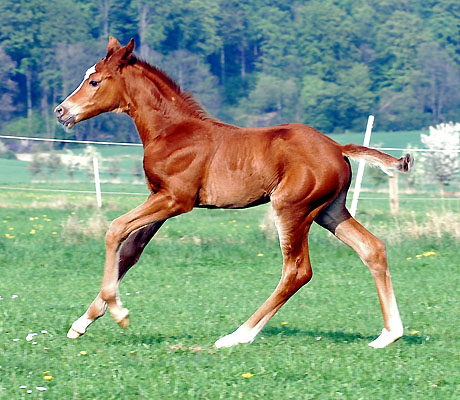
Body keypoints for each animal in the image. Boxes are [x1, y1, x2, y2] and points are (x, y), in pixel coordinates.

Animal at [55, 39, 412, 348]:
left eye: (94, 81)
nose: (61, 111)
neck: (172, 131)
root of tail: (338, 147)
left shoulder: (175, 200)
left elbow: (115, 229)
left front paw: (120, 313)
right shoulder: (159, 198)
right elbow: (130, 252)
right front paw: (82, 322)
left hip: (292, 208)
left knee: (297, 271)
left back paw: (237, 336)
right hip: (330, 210)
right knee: (372, 248)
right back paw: (388, 335)